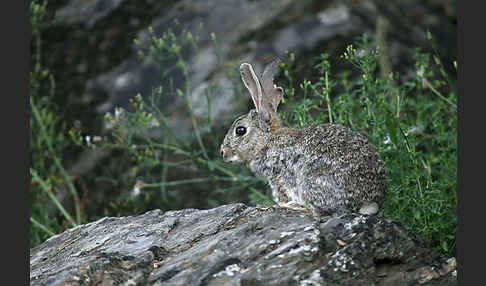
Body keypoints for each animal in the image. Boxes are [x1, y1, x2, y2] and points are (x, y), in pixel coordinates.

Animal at [221, 57, 388, 214]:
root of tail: (369, 201)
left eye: (240, 130)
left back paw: (291, 206)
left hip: (309, 181)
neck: (266, 142)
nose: (223, 152)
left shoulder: (278, 178)